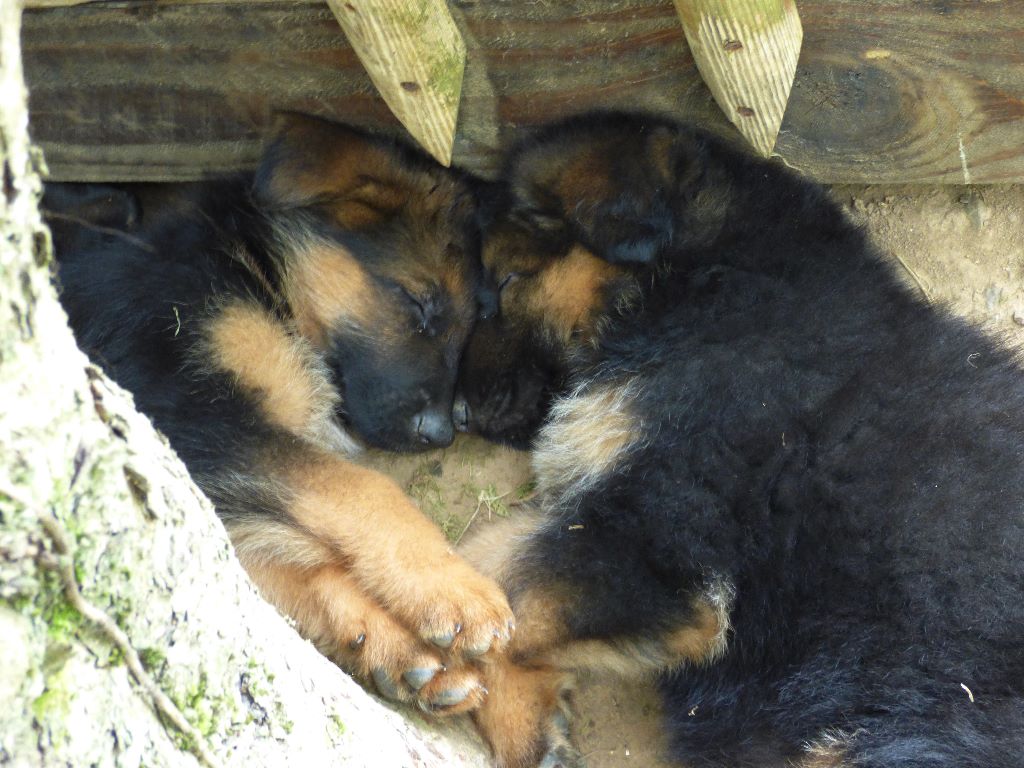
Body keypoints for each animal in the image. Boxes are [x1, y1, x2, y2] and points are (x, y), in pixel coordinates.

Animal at [48, 112, 512, 716]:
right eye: (419, 302)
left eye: (471, 327)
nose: (440, 434)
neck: (259, 279)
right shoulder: (189, 412)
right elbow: (360, 488)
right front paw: (450, 588)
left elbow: (267, 565)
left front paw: (391, 645)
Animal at [456, 112, 1024, 768]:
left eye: (509, 280)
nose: (457, 413)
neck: (703, 288)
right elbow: (488, 562)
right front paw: (521, 714)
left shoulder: (658, 538)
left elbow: (500, 577)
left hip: (912, 727)